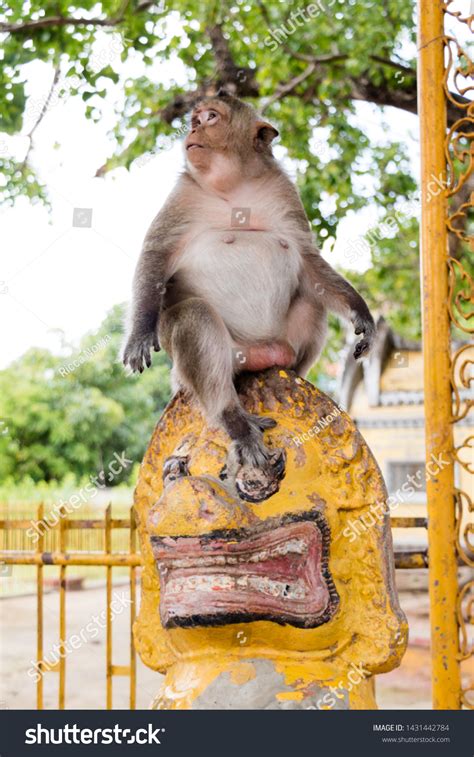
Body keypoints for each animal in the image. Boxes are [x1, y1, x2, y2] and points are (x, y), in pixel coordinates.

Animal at [124, 88, 376, 478]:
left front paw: (360, 312)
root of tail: (257, 356)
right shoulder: (183, 195)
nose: (193, 129)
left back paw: (291, 373)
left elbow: (308, 261)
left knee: (312, 301)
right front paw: (139, 334)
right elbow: (156, 257)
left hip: (280, 345)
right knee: (194, 317)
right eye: (195, 119)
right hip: (214, 360)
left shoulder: (284, 191)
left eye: (211, 117)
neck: (234, 185)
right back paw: (234, 419)